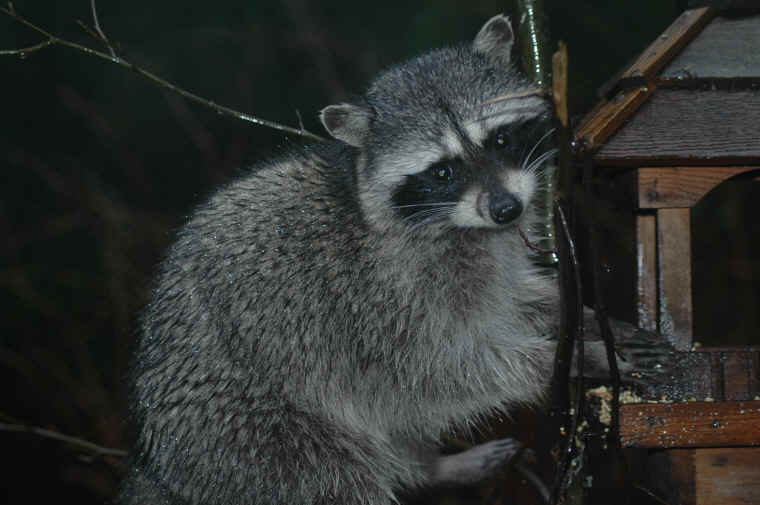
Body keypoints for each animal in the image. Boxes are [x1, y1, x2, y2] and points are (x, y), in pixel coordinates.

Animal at [120, 14, 590, 505]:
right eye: (443, 171)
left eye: (500, 138)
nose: (506, 209)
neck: (460, 227)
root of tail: (160, 468)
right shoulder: (376, 301)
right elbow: (434, 370)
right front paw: (555, 362)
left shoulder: (491, 257)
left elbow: (511, 302)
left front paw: (571, 312)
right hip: (254, 434)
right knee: (336, 479)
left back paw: (426, 468)